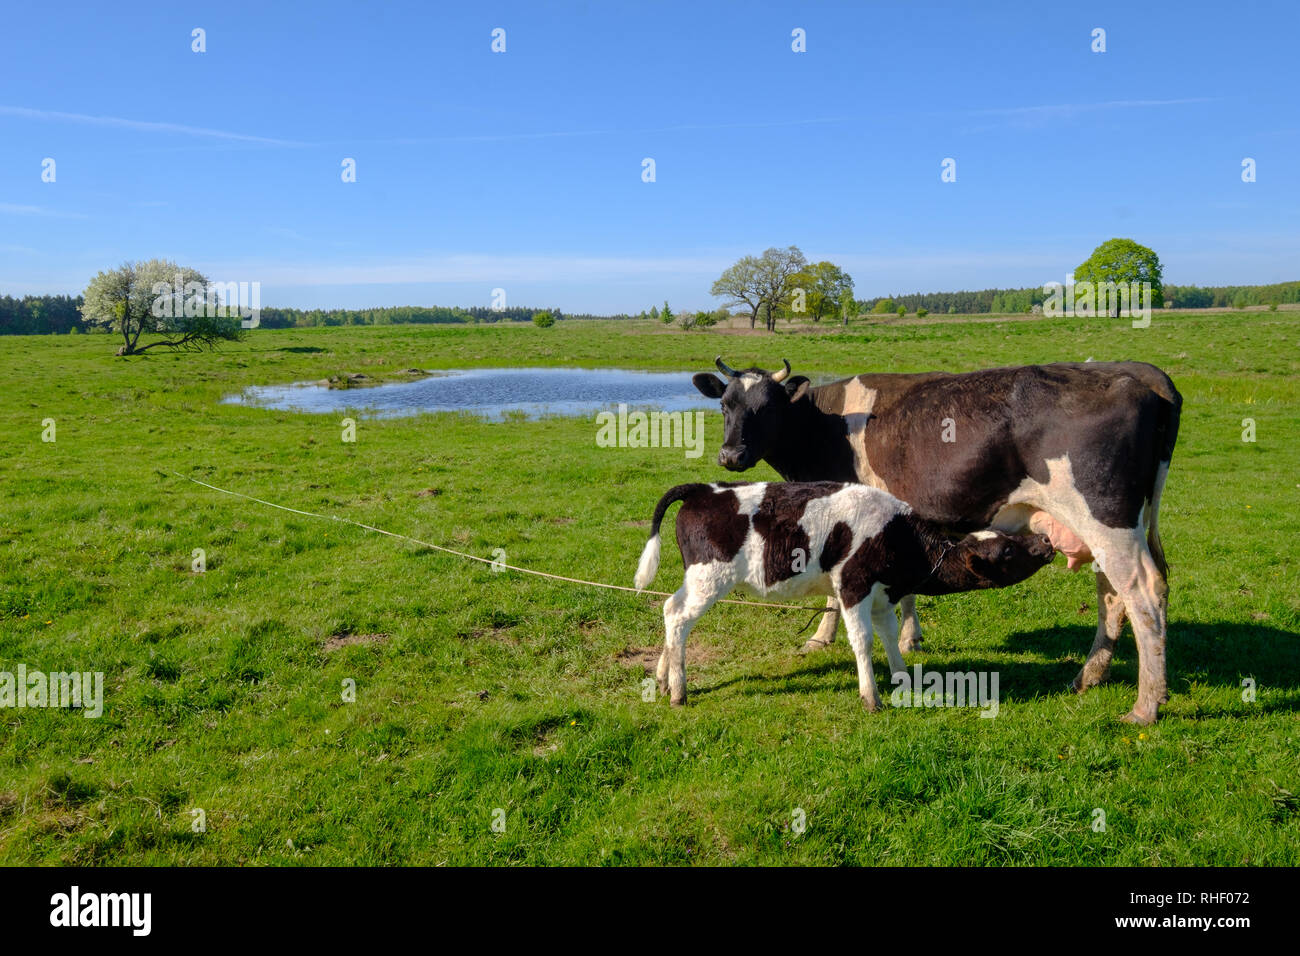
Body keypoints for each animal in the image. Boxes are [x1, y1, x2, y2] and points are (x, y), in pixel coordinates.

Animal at [633, 481, 1056, 710]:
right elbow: (863, 640)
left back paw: (663, 679)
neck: (900, 537)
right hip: (711, 578)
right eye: (1007, 551)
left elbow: (890, 635)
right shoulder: (853, 585)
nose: (1047, 541)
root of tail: (705, 489)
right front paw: (872, 697)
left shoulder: (884, 595)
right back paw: (679, 692)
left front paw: (904, 680)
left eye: (1007, 537)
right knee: (679, 618)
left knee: (670, 609)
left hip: (697, 578)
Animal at [692, 357, 1182, 724]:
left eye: (767, 408)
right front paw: (911, 637)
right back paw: (1090, 676)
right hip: (1105, 527)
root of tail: (1137, 372)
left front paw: (821, 637)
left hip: (1106, 518)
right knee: (1113, 593)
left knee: (1143, 592)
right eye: (725, 406)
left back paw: (1145, 705)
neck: (824, 427)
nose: (730, 456)